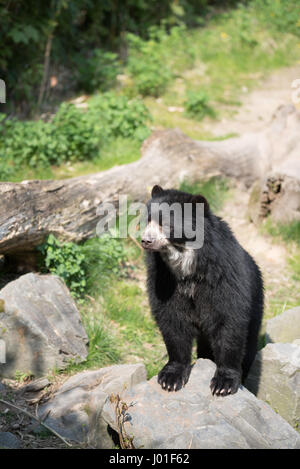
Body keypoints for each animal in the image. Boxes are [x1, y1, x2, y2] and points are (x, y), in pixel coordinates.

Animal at [142, 185, 264, 396]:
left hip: (256, 302)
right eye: (148, 220)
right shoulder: (163, 278)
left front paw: (224, 384)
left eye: (166, 224)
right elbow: (172, 320)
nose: (145, 241)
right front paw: (170, 378)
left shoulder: (223, 276)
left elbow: (229, 320)